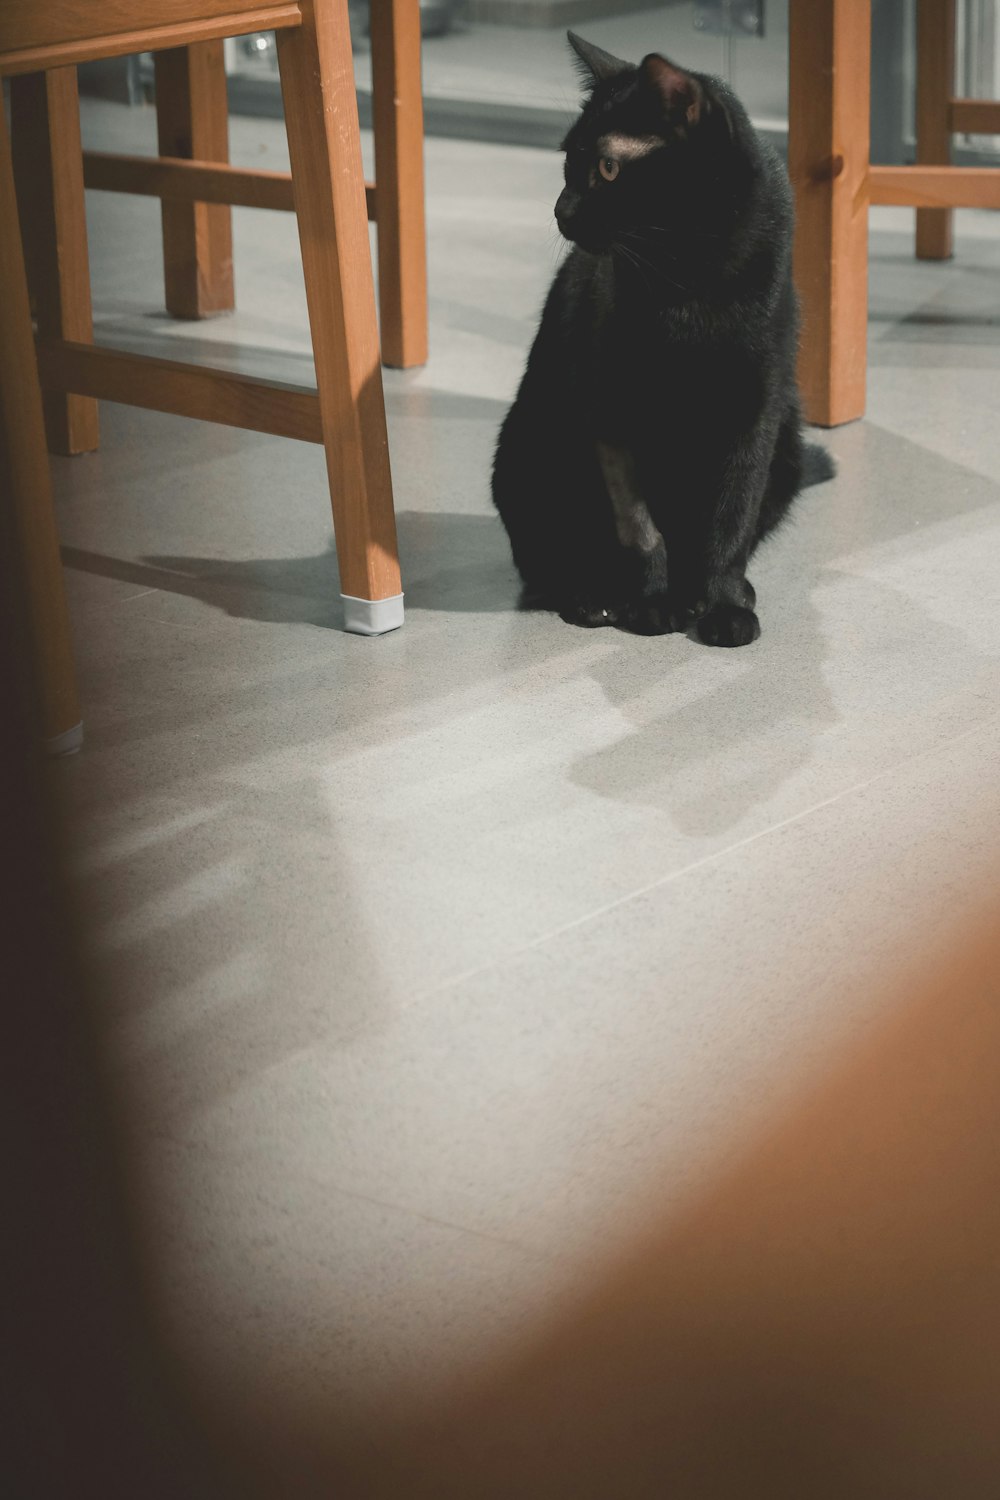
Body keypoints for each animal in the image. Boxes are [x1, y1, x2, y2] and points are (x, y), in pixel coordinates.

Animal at [494, 27, 839, 639]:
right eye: (567, 161)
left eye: (608, 168)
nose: (561, 210)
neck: (687, 278)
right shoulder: (608, 405)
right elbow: (637, 523)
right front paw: (653, 601)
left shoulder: (755, 409)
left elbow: (731, 514)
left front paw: (721, 604)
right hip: (524, 446)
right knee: (547, 560)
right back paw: (592, 595)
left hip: (789, 445)